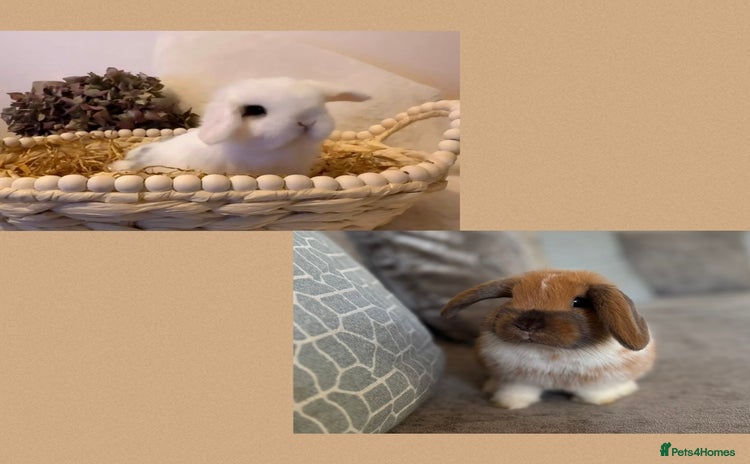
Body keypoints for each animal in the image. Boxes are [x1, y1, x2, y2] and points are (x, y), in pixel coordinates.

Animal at [441, 270, 655, 409]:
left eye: (579, 302)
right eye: (512, 298)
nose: (527, 323)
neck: (550, 351)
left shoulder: (598, 382)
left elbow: (596, 392)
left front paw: (596, 401)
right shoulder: (518, 380)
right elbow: (517, 392)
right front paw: (507, 404)